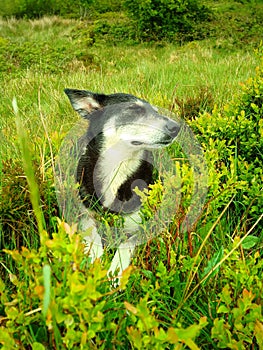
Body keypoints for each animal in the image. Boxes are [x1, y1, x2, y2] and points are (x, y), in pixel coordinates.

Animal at [63, 89, 182, 284]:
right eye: (133, 109)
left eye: (155, 111)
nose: (176, 127)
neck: (119, 165)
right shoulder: (83, 213)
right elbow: (91, 231)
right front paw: (95, 258)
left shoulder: (143, 223)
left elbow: (126, 244)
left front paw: (116, 269)